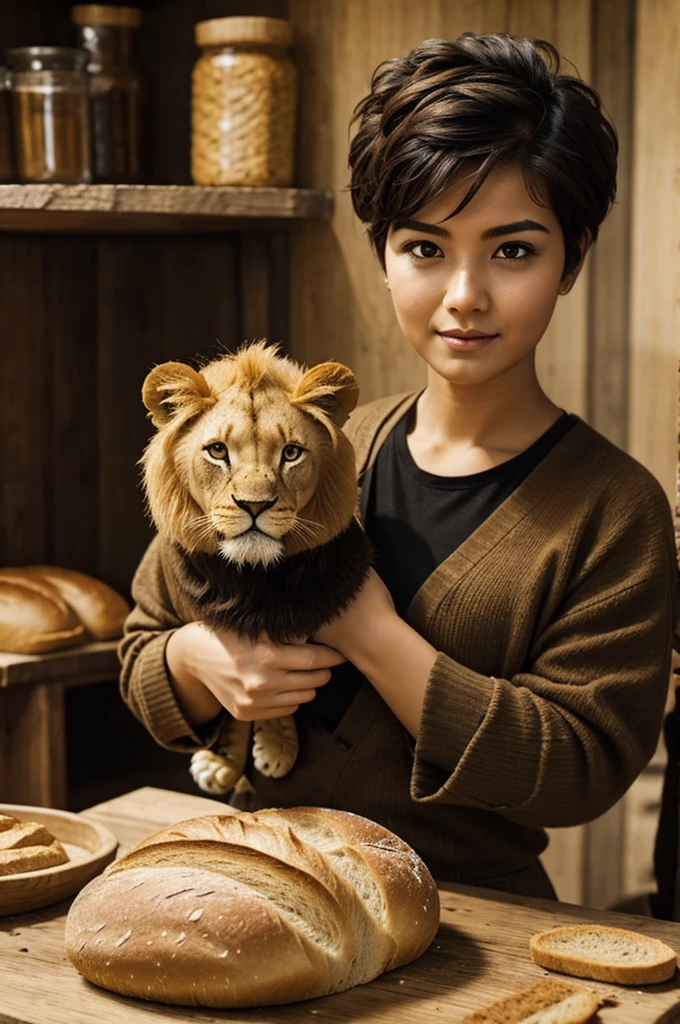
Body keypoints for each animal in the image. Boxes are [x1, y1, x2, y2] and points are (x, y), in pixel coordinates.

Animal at [139, 339, 372, 794]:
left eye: (291, 453)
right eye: (217, 451)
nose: (254, 505)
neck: (251, 580)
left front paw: (276, 746)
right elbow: (234, 701)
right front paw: (224, 761)